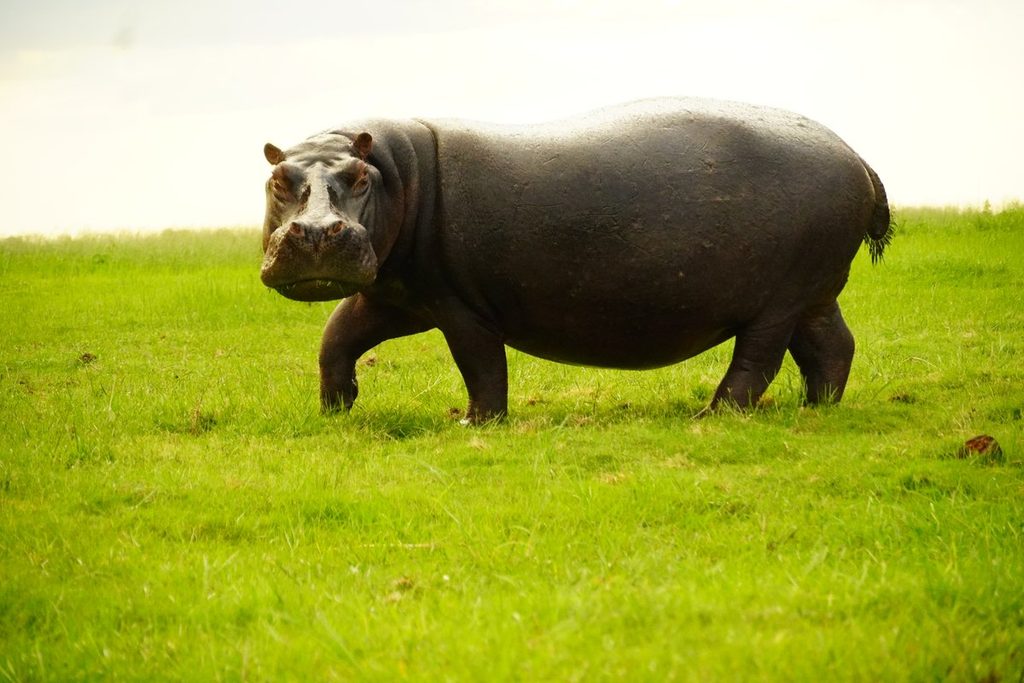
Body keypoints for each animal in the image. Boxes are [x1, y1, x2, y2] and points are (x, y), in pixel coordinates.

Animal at [260, 98, 892, 422]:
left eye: (360, 178)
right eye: (277, 177)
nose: (313, 232)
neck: (399, 171)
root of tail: (859, 157)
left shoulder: (459, 306)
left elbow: (481, 366)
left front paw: (475, 423)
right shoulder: (397, 294)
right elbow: (337, 337)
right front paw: (336, 409)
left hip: (778, 301)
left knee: (757, 361)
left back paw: (713, 416)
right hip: (813, 292)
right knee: (832, 346)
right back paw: (817, 408)